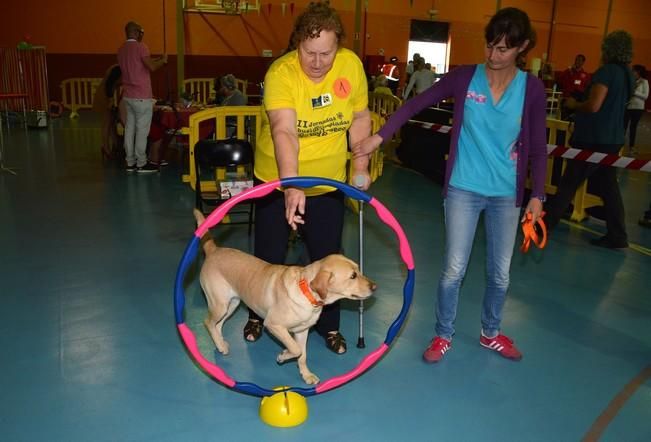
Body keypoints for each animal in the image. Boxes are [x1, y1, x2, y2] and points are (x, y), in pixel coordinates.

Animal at [194, 209, 376, 386]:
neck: (305, 291)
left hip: (231, 304)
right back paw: (219, 342)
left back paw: (220, 344)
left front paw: (306, 375)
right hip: (220, 304)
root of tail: (214, 250)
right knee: (208, 322)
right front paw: (283, 355)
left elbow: (302, 354)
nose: (374, 287)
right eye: (352, 276)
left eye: (358, 270)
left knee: (217, 325)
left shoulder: (302, 331)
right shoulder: (274, 325)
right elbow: (295, 349)